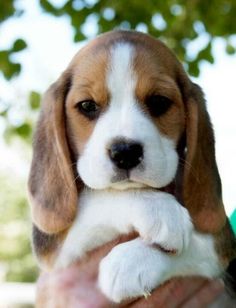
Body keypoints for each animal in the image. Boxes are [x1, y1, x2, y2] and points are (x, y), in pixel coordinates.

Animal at [28, 30, 235, 302]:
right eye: (87, 106)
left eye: (159, 102)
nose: (124, 152)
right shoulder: (53, 250)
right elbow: (97, 198)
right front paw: (159, 210)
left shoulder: (221, 242)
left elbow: (198, 245)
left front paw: (128, 264)